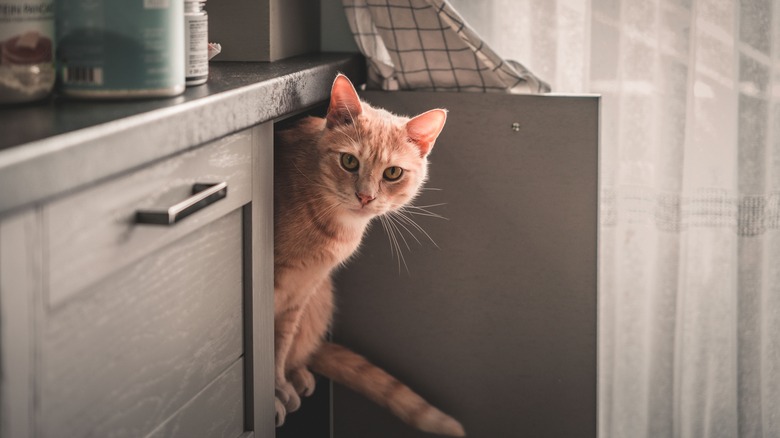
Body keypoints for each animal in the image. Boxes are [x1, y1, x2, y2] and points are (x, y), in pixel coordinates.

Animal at [274, 73, 464, 436]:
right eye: (349, 161)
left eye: (392, 173)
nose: (365, 197)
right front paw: (273, 395)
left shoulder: (300, 293)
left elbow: (279, 347)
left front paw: (277, 385)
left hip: (320, 299)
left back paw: (298, 375)